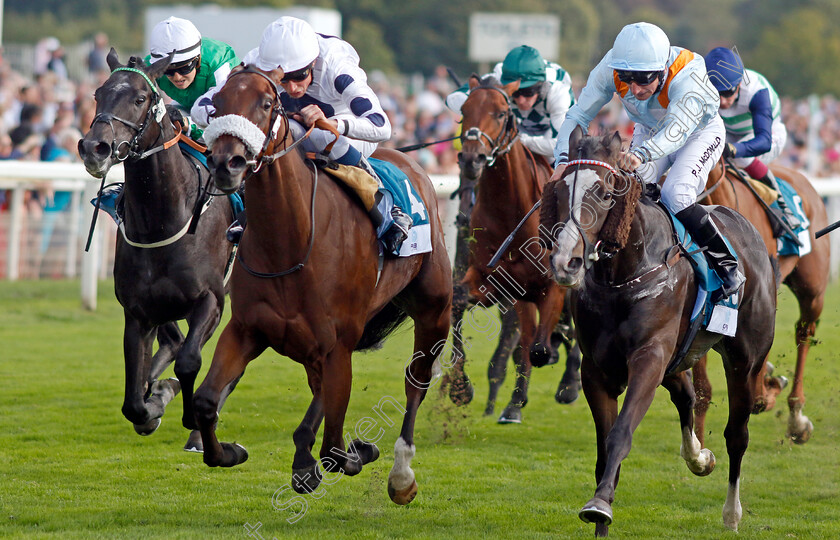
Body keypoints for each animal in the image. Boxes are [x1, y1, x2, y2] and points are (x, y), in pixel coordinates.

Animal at [78, 50, 236, 450]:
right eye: (98, 94)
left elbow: (190, 361)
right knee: (174, 342)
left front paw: (185, 410)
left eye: (139, 98)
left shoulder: (211, 300)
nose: (94, 148)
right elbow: (133, 400)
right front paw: (153, 403)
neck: (161, 221)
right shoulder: (138, 311)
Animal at [194, 64, 452, 506]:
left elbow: (334, 447)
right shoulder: (246, 330)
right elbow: (207, 400)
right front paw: (228, 451)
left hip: (434, 309)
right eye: (217, 103)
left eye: (267, 103)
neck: (290, 244)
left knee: (415, 381)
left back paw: (401, 475)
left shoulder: (339, 344)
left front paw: (350, 454)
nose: (228, 162)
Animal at [450, 76, 580, 424]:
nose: (472, 159)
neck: (511, 214)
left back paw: (569, 382)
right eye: (464, 111)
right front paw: (460, 387)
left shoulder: (552, 287)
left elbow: (539, 347)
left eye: (499, 113)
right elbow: (458, 302)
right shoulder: (497, 283)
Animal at [540, 127, 776, 536]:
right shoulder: (597, 370)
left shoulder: (649, 358)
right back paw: (699, 457)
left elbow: (621, 433)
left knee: (737, 434)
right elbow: (604, 449)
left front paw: (600, 506)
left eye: (604, 192)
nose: (565, 261)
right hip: (678, 358)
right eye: (560, 190)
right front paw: (600, 516)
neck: (623, 277)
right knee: (686, 396)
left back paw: (731, 513)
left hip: (744, 360)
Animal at [692, 159, 832, 442]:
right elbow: (701, 386)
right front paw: (697, 445)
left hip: (812, 291)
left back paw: (796, 417)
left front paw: (764, 391)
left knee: (804, 333)